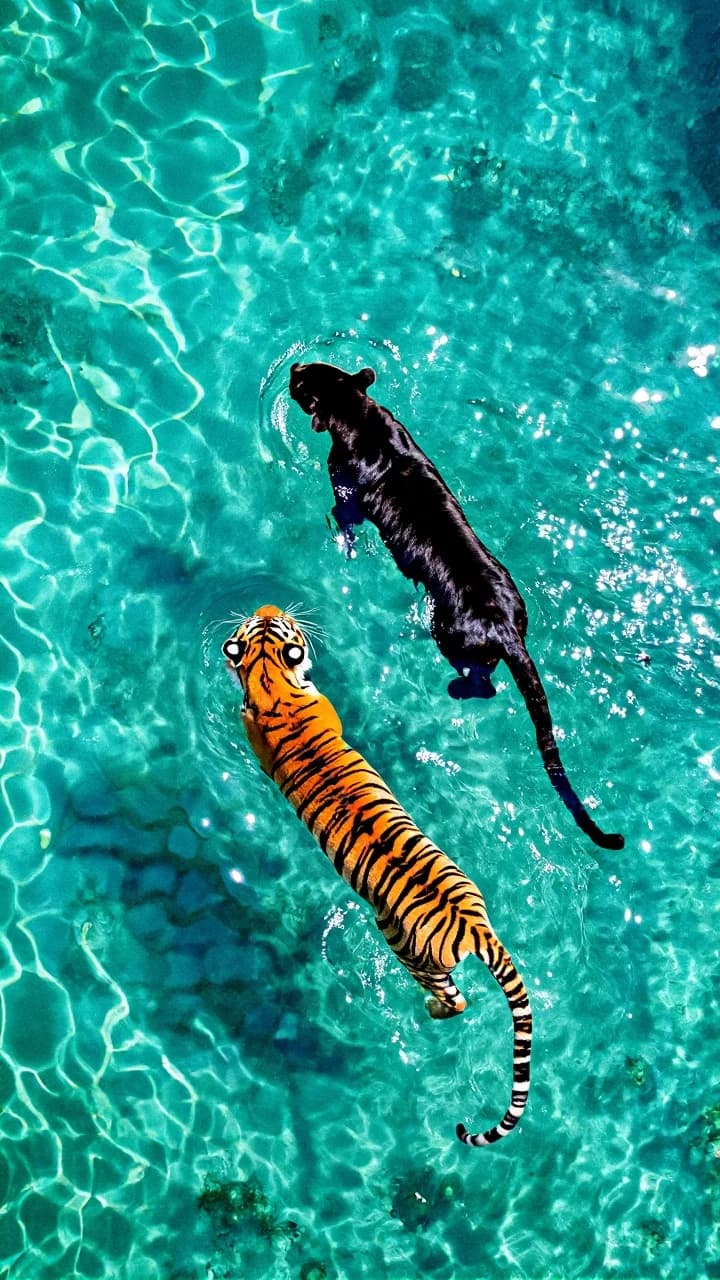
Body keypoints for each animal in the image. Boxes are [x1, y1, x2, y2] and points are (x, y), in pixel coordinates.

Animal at [222, 605, 532, 1147]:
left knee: (455, 1000)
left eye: (276, 623)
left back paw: (429, 1011)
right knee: (459, 1000)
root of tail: (474, 925)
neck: (271, 683)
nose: (268, 608)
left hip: (402, 944)